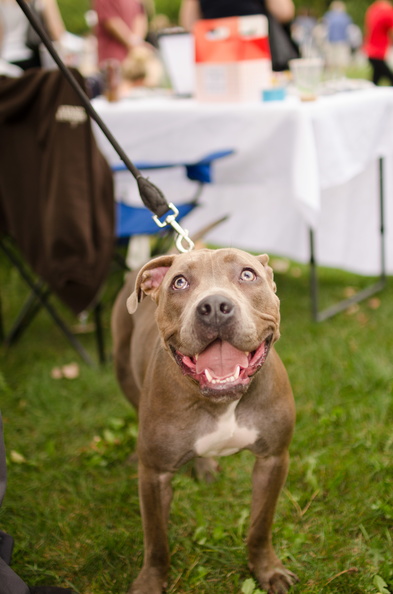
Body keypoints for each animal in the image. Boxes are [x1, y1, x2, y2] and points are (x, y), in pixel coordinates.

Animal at [110, 246, 298, 592]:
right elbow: (156, 540)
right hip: (122, 369)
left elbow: (260, 525)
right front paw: (150, 581)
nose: (213, 308)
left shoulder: (274, 458)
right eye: (179, 282)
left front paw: (267, 569)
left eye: (248, 274)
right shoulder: (154, 475)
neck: (222, 402)